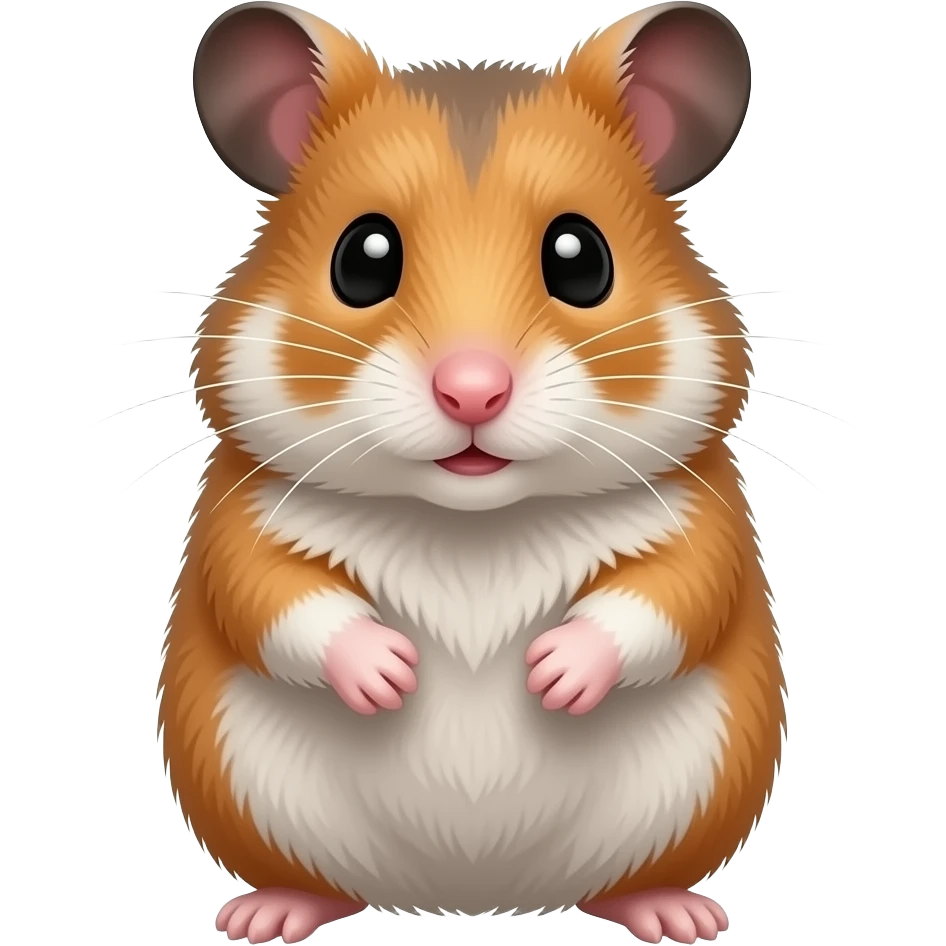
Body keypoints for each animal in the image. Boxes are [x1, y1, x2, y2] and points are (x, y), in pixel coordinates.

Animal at [156, 2, 787, 944]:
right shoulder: (242, 515)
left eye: (581, 259)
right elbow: (274, 595)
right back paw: (264, 916)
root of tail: (476, 895)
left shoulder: (701, 516)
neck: (471, 521)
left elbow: (669, 594)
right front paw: (392, 676)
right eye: (363, 258)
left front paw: (551, 677)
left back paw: (680, 916)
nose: (472, 391)